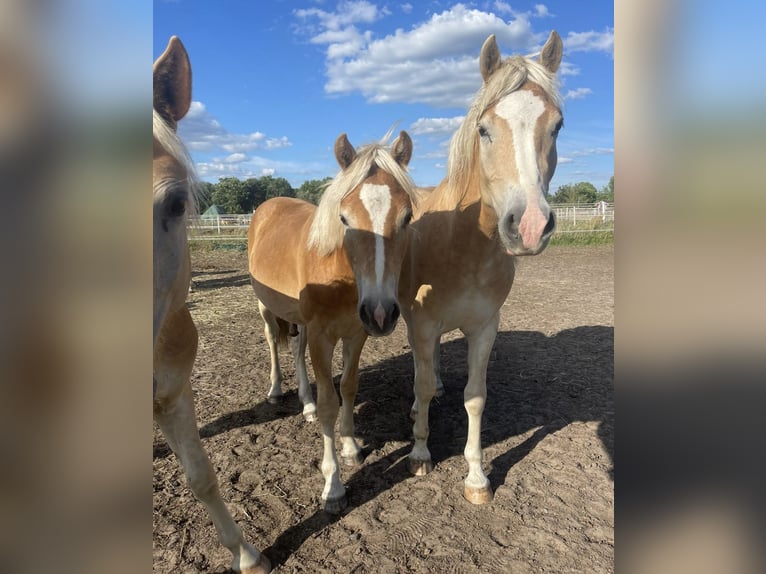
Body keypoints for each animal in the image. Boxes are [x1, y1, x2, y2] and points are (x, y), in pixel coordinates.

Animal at [249, 133, 416, 516]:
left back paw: (305, 403)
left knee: (296, 350)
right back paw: (276, 390)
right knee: (273, 342)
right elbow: (329, 401)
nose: (382, 312)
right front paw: (333, 486)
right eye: (344, 218)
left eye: (407, 217)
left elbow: (349, 388)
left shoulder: (356, 334)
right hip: (267, 307)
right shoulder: (322, 337)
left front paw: (351, 447)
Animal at [402, 31, 564, 506]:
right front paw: (420, 452)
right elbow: (420, 382)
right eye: (484, 129)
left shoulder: (485, 326)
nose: (529, 225)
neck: (464, 245)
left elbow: (475, 397)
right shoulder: (423, 321)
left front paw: (476, 477)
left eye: (557, 126)